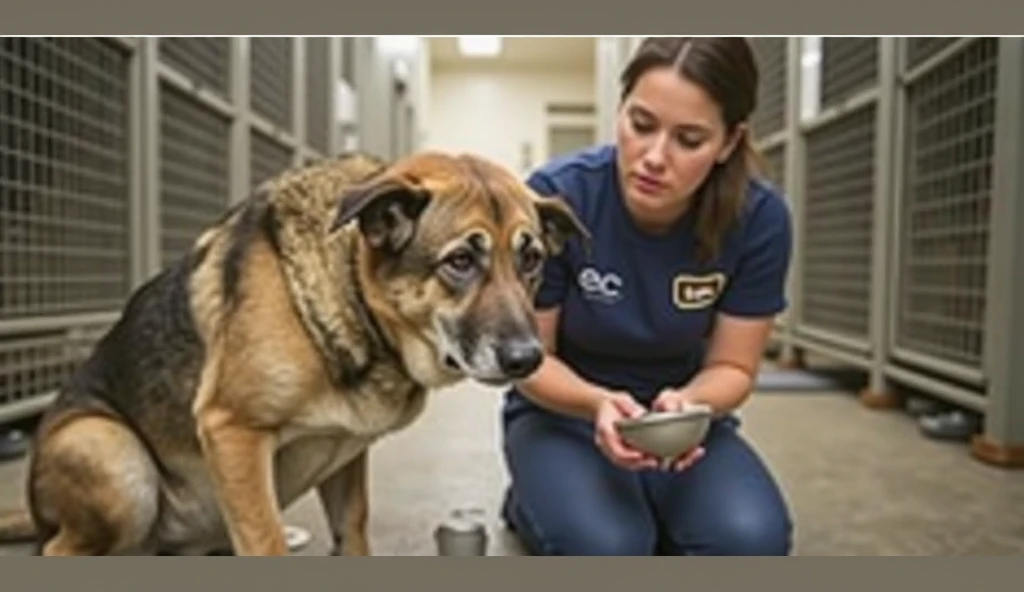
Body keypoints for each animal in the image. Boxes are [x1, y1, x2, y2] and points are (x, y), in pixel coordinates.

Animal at [0, 148, 589, 553]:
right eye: (461, 262)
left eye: (531, 259)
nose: (529, 360)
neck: (355, 295)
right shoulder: (232, 431)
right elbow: (264, 543)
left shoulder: (346, 455)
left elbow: (353, 531)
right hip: (115, 458)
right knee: (59, 547)